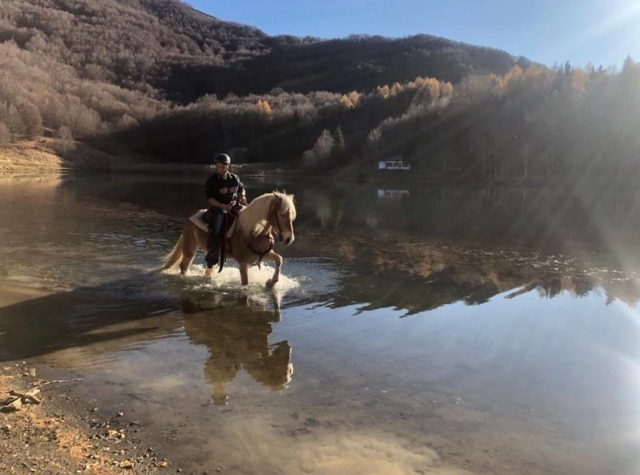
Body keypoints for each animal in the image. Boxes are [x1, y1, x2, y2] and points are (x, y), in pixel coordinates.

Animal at [162, 191, 296, 287]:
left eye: (292, 216)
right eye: (282, 214)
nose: (289, 239)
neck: (254, 232)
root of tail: (192, 215)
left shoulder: (262, 255)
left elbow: (279, 259)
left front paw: (271, 282)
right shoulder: (243, 263)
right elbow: (245, 283)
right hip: (190, 249)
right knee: (184, 266)